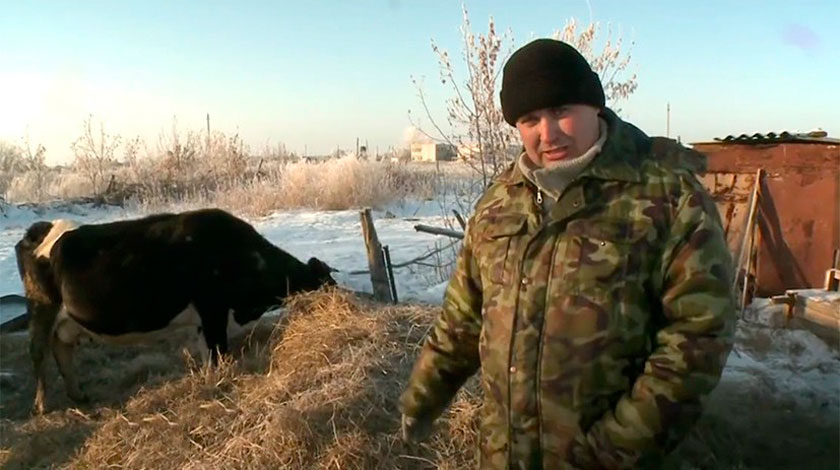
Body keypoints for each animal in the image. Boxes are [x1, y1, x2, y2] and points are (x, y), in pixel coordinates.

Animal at [14, 207, 336, 414]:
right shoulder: (213, 311)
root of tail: (39, 229)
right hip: (41, 308)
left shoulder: (204, 323)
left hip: (64, 320)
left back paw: (78, 395)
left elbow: (209, 356)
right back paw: (42, 406)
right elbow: (219, 354)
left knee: (62, 350)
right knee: (38, 352)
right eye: (327, 282)